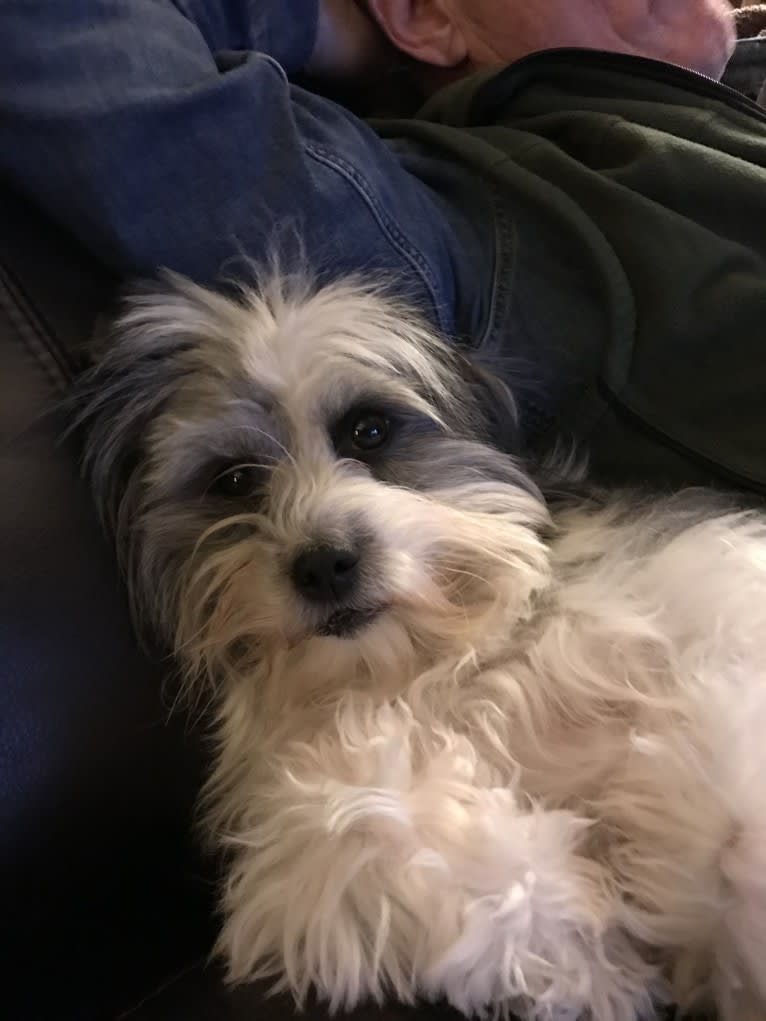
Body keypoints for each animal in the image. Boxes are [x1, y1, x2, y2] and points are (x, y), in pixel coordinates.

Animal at [79, 269, 766, 1021]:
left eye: (369, 430)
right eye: (234, 480)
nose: (324, 564)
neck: (429, 669)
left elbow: (721, 809)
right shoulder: (304, 835)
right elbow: (376, 819)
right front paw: (592, 957)